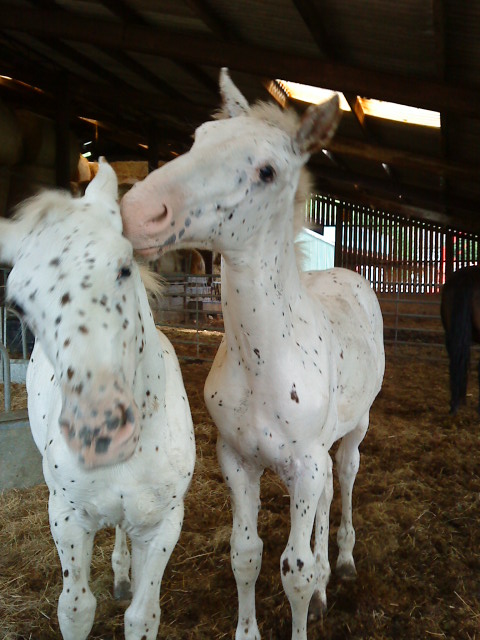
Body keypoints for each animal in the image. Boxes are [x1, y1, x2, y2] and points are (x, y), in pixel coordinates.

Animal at [0, 159, 195, 640]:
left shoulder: (163, 524)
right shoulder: (66, 517)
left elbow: (143, 616)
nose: (99, 433)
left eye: (125, 268)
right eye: (19, 304)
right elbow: (75, 609)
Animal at [121, 69, 385, 640]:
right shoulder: (237, 460)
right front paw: (249, 628)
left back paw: (343, 565)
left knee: (346, 477)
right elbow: (246, 553)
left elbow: (296, 570)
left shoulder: (305, 464)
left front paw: (312, 595)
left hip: (353, 432)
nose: (136, 212)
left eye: (267, 171)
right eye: (198, 139)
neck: (264, 362)